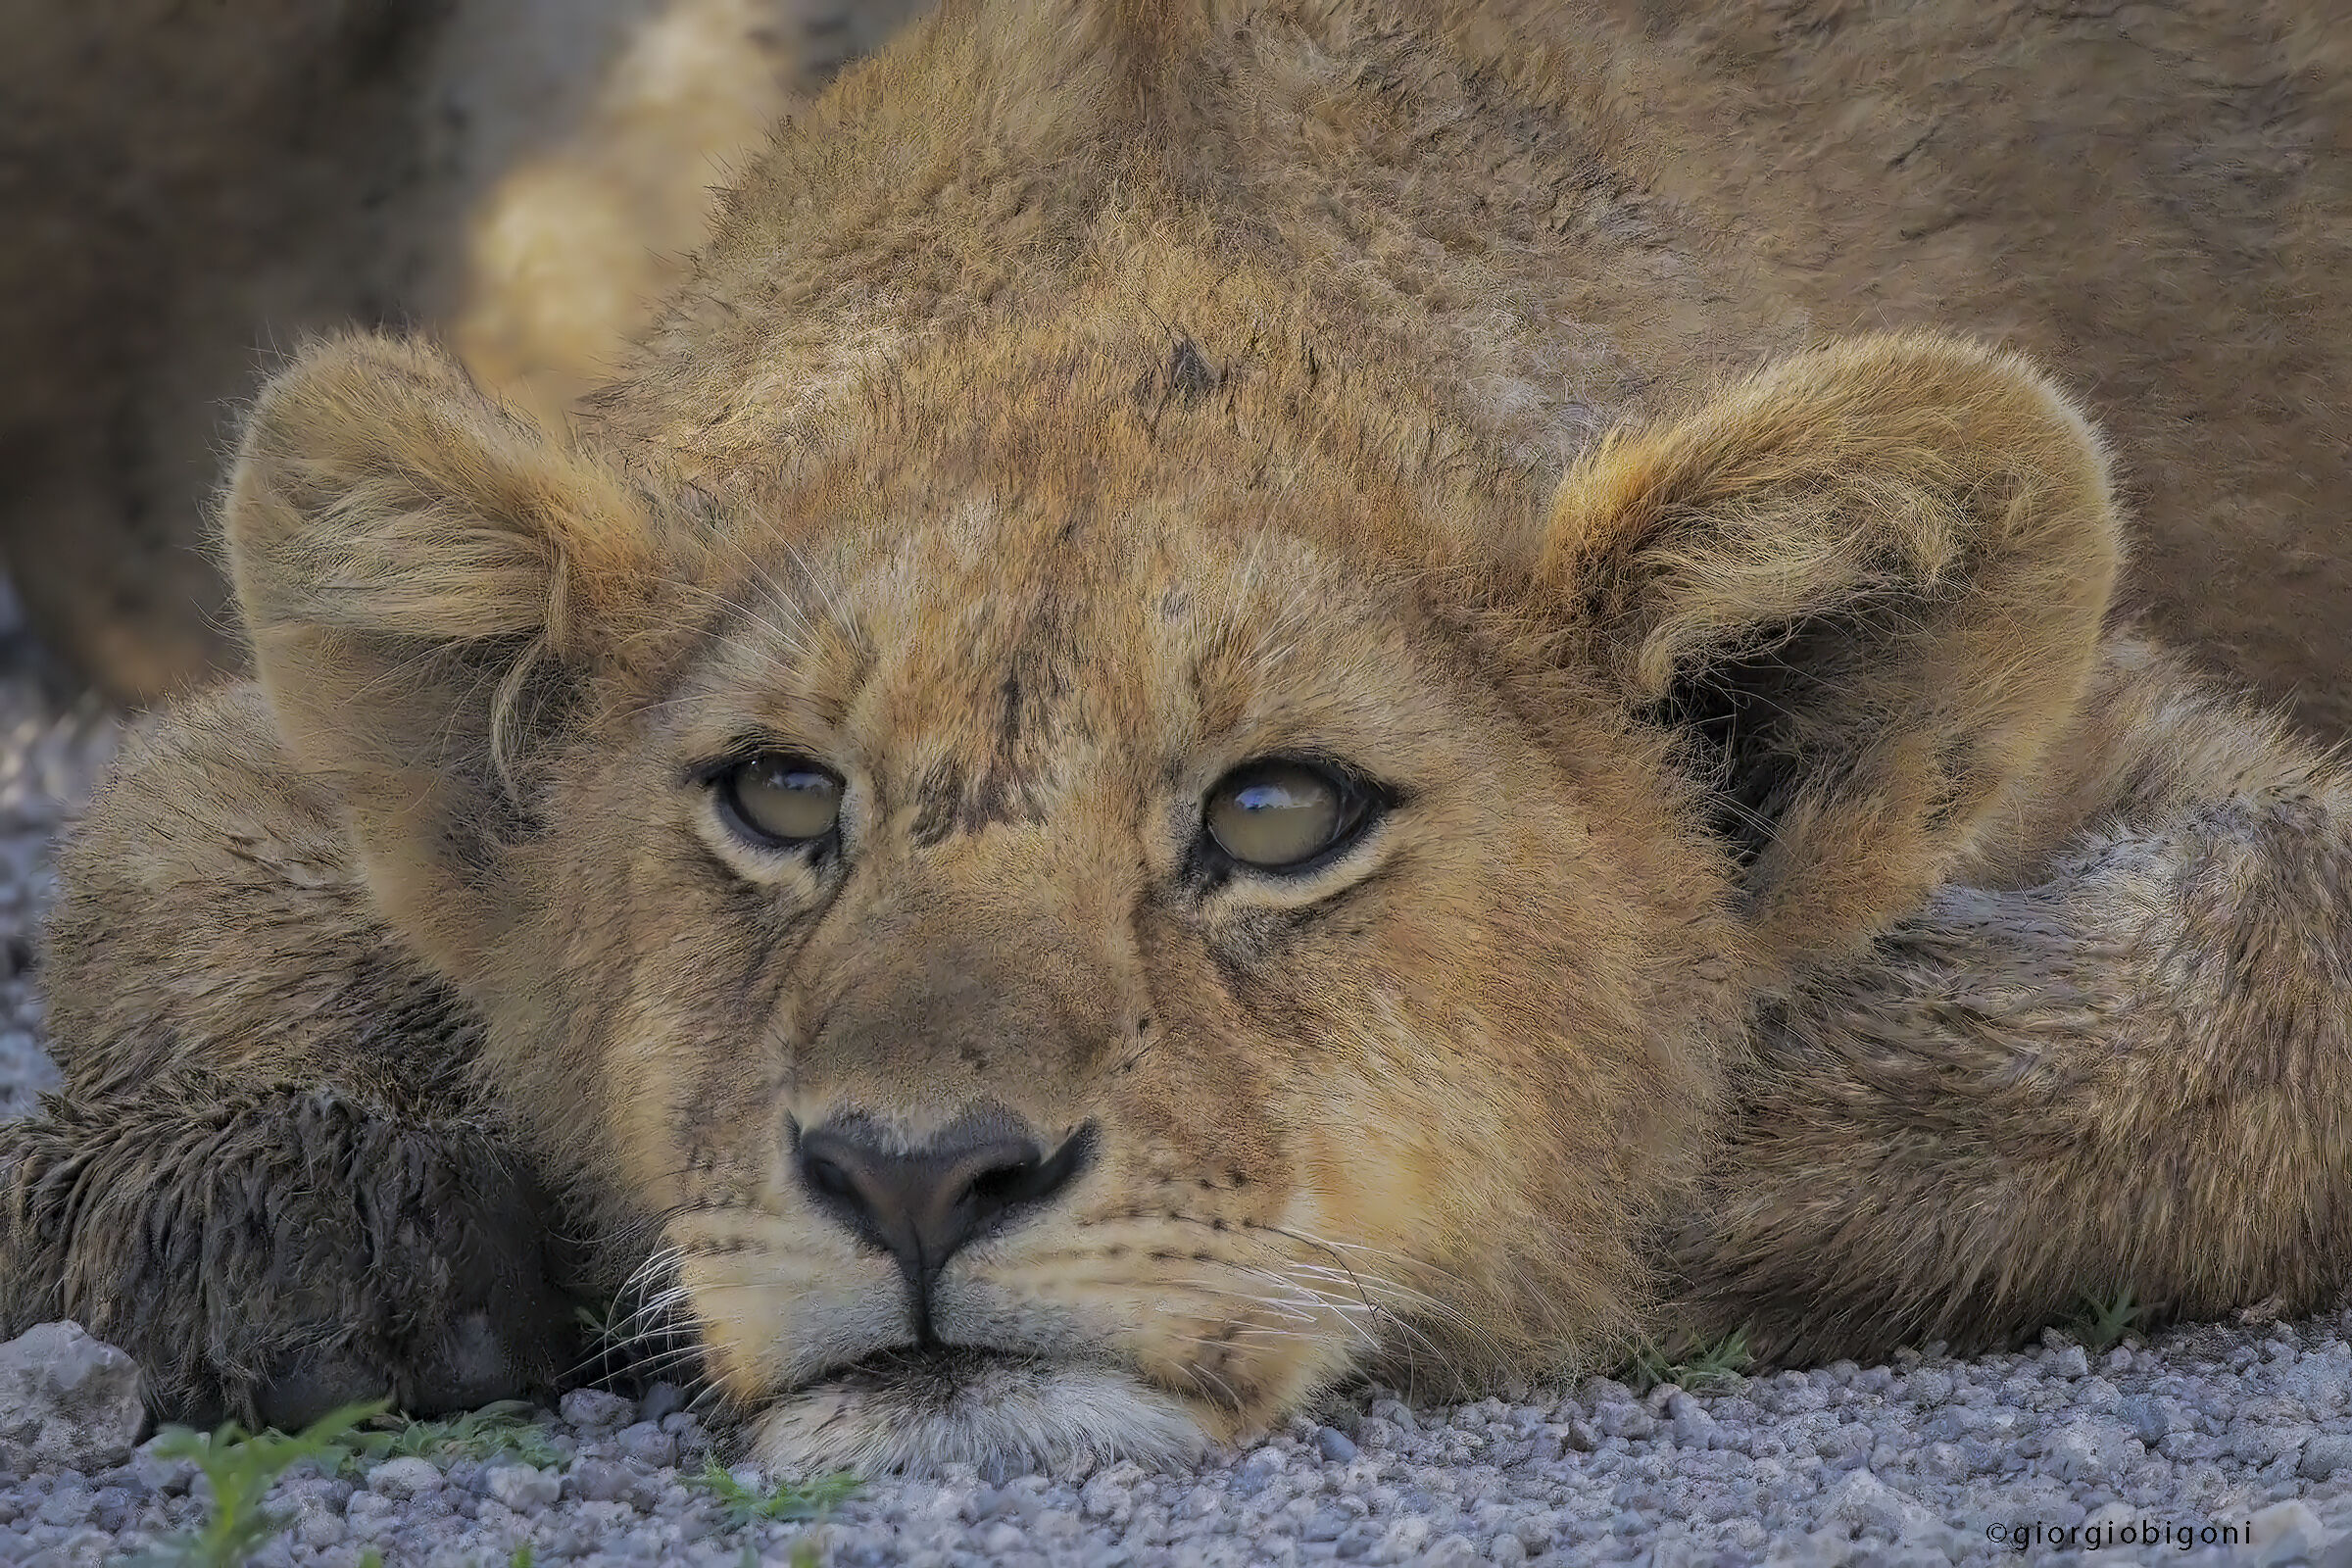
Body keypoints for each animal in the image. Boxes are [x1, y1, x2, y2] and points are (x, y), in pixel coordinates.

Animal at [3, 0, 2351, 1478]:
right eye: (782, 795)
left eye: (1278, 812)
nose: (916, 1174)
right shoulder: (289, 757)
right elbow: (165, 858)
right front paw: (272, 1221)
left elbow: (2244, 982)